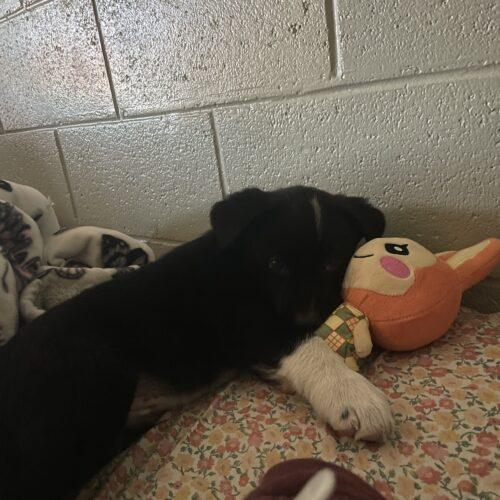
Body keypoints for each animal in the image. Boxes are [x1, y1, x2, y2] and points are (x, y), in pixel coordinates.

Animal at [0, 186, 392, 498]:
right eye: (276, 263)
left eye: (332, 263)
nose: (311, 318)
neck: (242, 266)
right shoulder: (252, 325)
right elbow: (307, 345)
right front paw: (352, 395)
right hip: (92, 371)